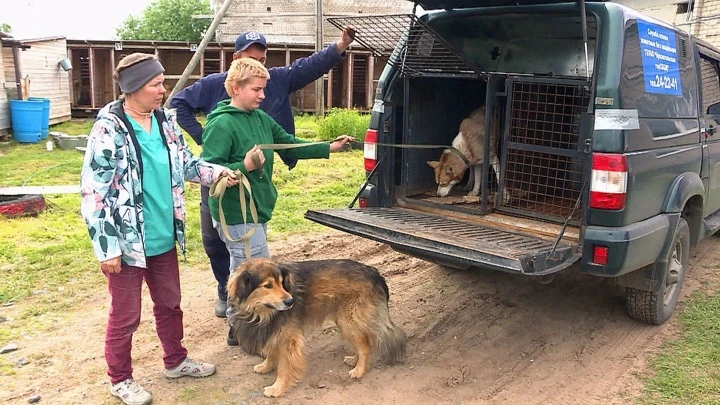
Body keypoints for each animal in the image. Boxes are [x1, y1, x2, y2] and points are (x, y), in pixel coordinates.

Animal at [225, 258, 404, 396]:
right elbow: (270, 351)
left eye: (282, 283)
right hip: (344, 321)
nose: (290, 301)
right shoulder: (272, 330)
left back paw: (359, 370)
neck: (262, 312)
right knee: (363, 342)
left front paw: (277, 388)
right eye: (268, 285)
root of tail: (375, 273)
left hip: (349, 320)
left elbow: (284, 367)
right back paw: (354, 360)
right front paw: (266, 366)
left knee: (365, 346)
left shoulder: (288, 339)